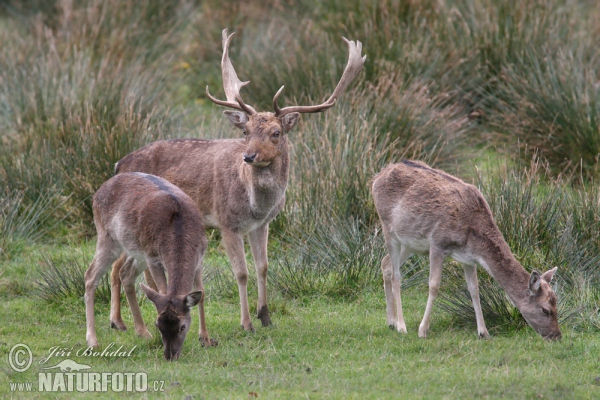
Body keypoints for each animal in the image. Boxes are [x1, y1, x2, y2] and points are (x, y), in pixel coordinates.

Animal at [84, 171, 216, 360]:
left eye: (182, 326)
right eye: (158, 324)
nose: (170, 355)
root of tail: (97, 193)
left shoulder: (199, 258)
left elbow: (202, 294)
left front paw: (205, 339)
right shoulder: (153, 258)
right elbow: (162, 291)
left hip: (136, 250)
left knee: (125, 273)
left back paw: (142, 332)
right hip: (107, 237)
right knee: (90, 276)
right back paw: (93, 341)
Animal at [110, 28, 368, 332]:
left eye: (276, 132)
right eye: (246, 131)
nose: (249, 156)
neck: (255, 205)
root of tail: (118, 164)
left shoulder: (263, 224)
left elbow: (263, 267)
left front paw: (265, 316)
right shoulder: (227, 222)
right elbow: (241, 272)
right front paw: (246, 323)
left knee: (121, 268)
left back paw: (122, 323)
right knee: (124, 269)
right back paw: (124, 323)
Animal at [372, 161, 560, 340]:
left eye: (556, 304)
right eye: (545, 309)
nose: (557, 336)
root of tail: (376, 177)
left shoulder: (468, 258)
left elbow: (474, 289)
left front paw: (484, 332)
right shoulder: (437, 243)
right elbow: (434, 285)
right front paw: (422, 330)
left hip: (410, 243)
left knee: (385, 263)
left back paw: (391, 321)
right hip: (388, 228)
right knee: (396, 274)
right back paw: (401, 326)